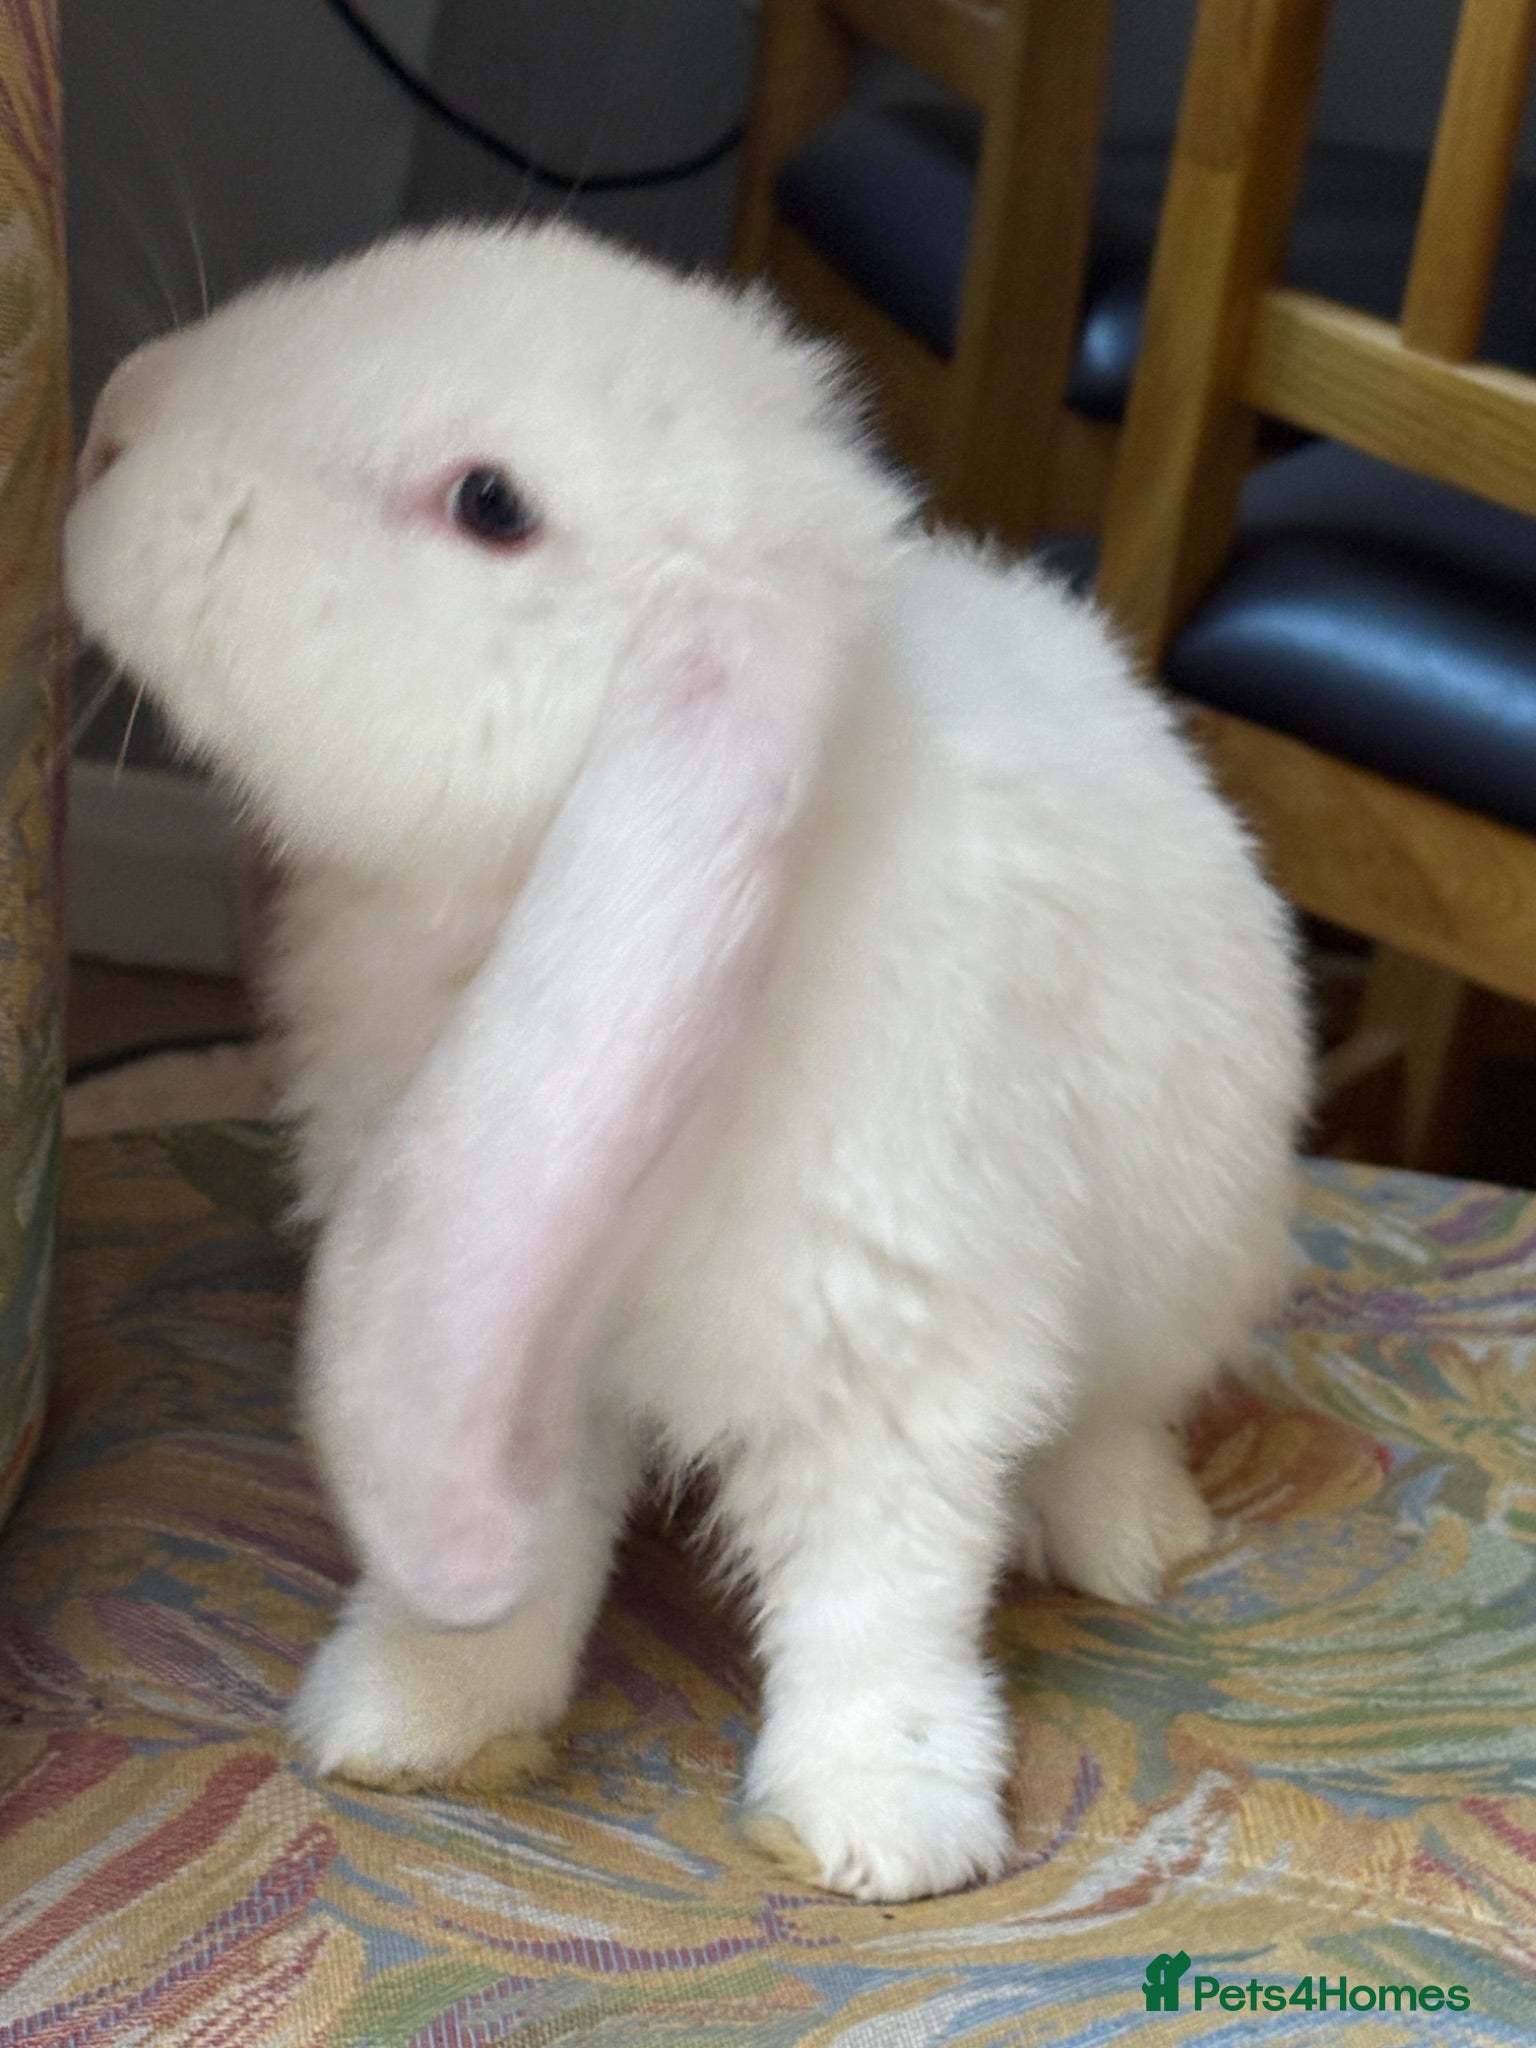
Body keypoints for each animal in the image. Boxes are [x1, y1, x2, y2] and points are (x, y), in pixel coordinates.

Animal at [65, 220, 1308, 1905]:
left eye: (492, 504)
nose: (111, 417)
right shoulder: (516, 1341)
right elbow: (533, 1567)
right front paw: (417, 1717)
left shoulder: (889, 1360)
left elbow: (880, 1593)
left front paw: (879, 1823)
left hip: (1190, 1267)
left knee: (1115, 1416)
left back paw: (1129, 1534)